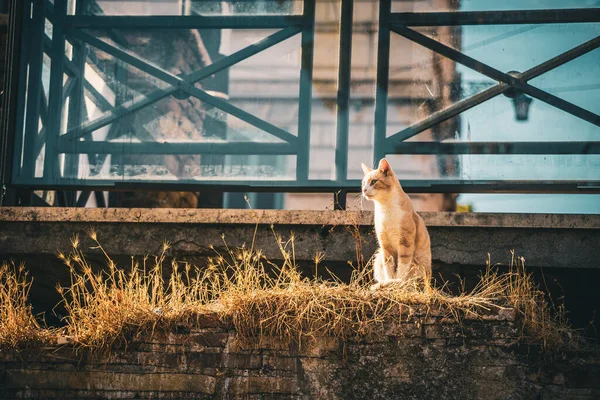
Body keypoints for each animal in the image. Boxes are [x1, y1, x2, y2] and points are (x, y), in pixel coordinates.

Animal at [360, 158, 432, 290]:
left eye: (373, 181)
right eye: (363, 183)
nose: (364, 190)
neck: (385, 208)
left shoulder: (405, 242)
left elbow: (402, 267)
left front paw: (398, 282)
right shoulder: (385, 245)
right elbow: (388, 265)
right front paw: (389, 282)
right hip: (378, 256)